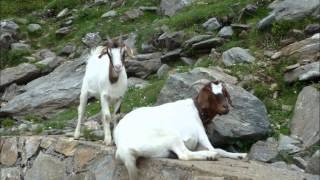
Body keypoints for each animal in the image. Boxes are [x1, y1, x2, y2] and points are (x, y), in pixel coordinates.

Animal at [114, 80, 248, 180]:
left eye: (224, 93)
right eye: (211, 95)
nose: (226, 108)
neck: (197, 110)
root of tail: (124, 149)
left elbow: (220, 149)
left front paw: (240, 155)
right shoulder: (200, 133)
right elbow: (215, 149)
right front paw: (216, 153)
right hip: (171, 135)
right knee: (185, 155)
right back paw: (210, 156)